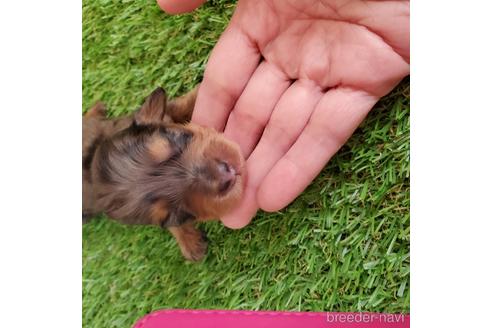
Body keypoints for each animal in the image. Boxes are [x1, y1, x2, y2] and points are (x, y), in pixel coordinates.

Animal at [84, 87, 248, 262]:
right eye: (180, 214)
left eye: (174, 138)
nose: (226, 175)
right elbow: (174, 227)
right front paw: (189, 242)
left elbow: (183, 103)